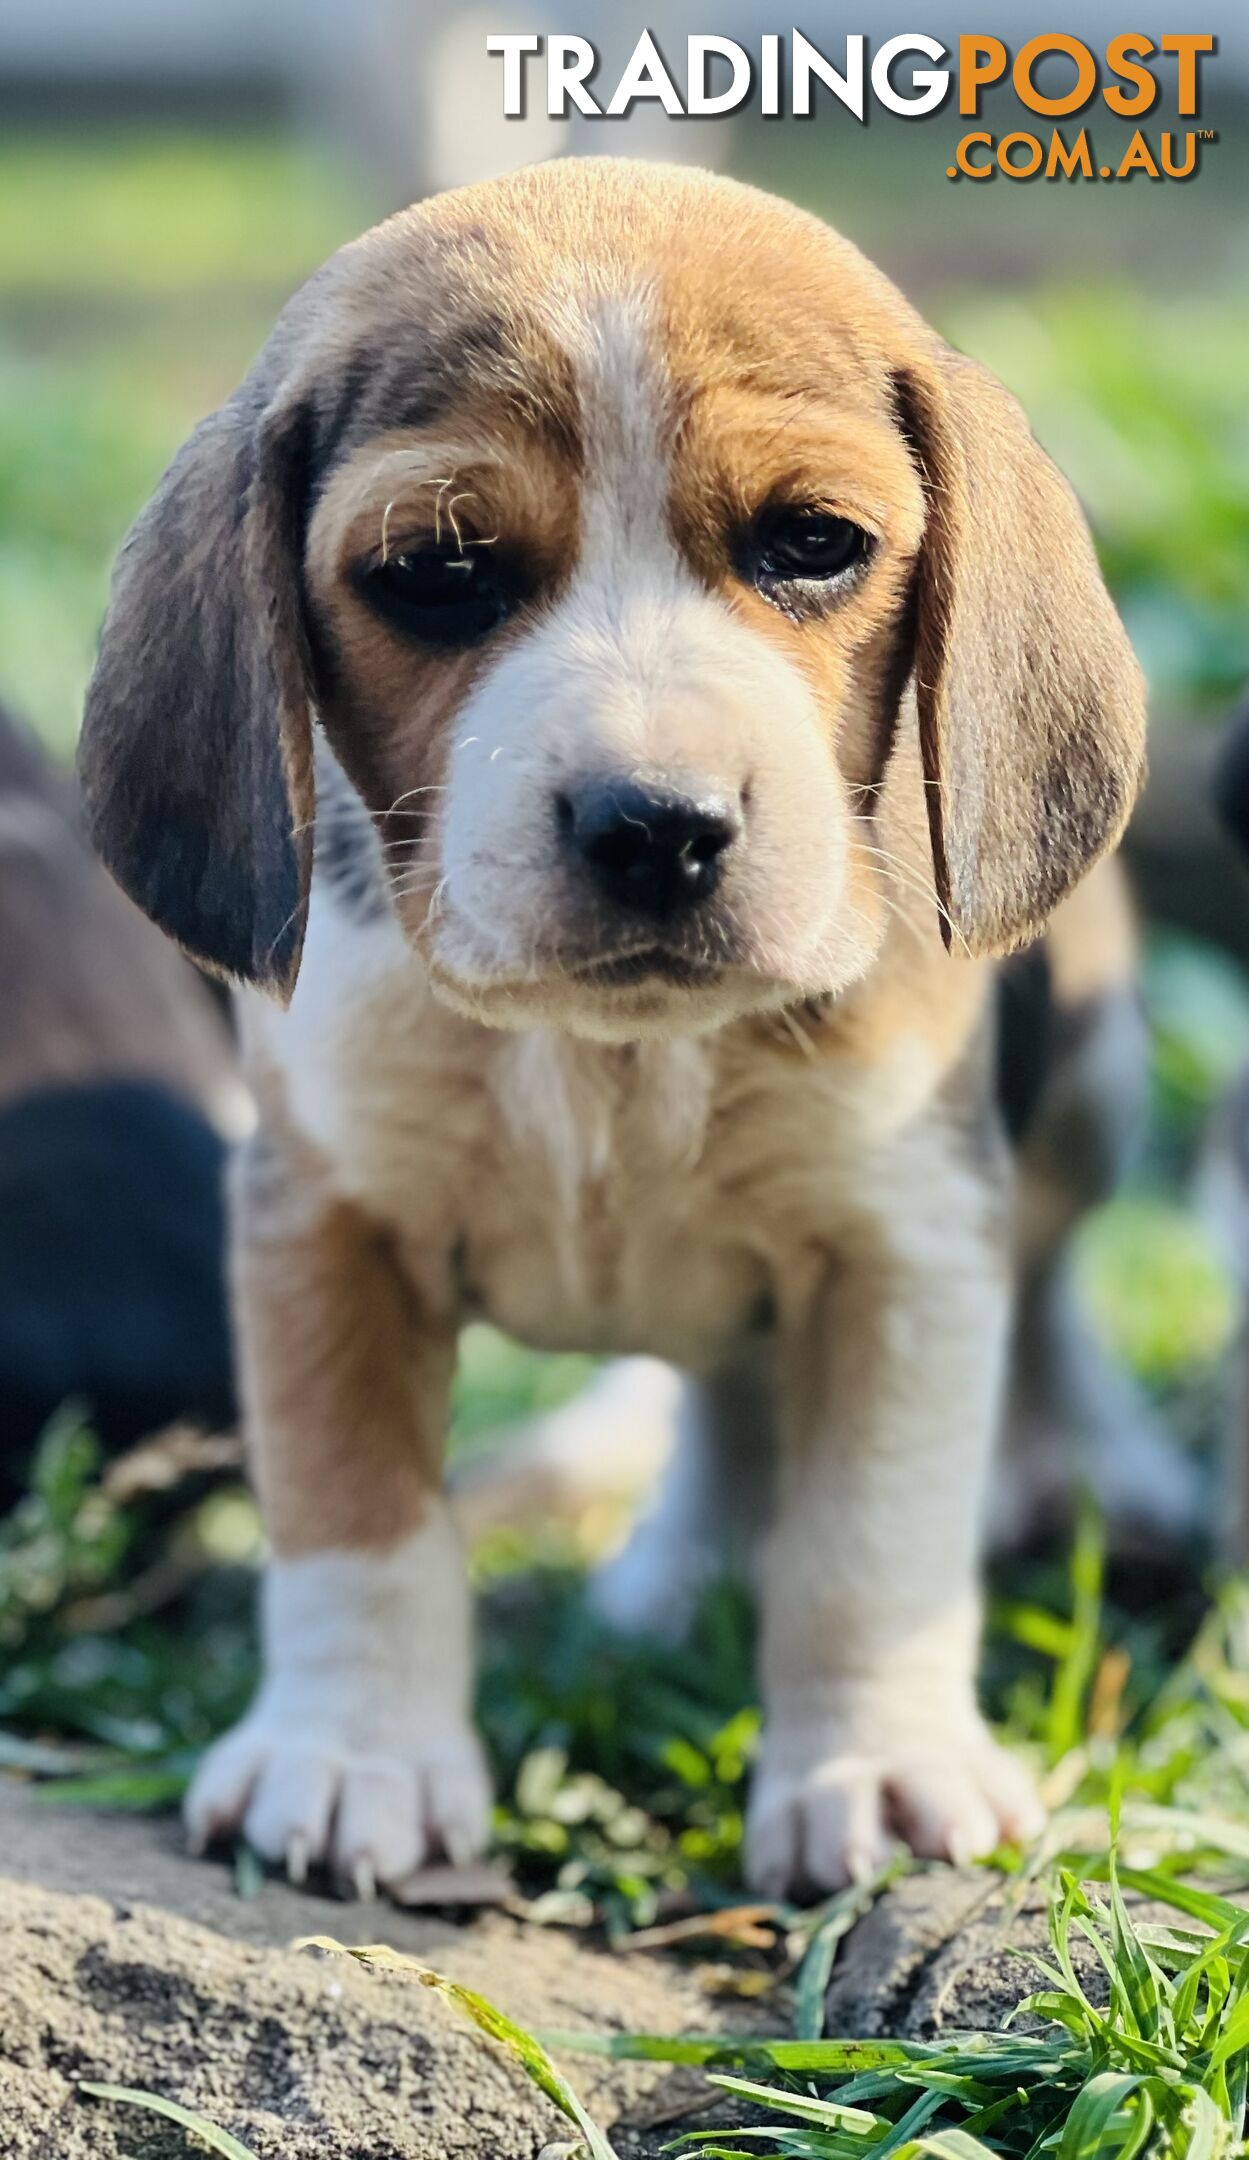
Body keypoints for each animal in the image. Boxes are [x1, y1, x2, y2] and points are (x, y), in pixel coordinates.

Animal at [79, 164, 1149, 1892]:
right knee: (727, 1398)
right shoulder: (325, 1219)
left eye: (812, 545)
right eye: (436, 571)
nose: (657, 825)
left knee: (1043, 1294)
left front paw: (875, 1764)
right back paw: (687, 1565)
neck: (609, 1053)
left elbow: (871, 1533)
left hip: (1088, 1099)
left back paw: (1099, 1467)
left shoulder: (905, 1237)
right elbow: (352, 1509)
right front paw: (351, 1754)